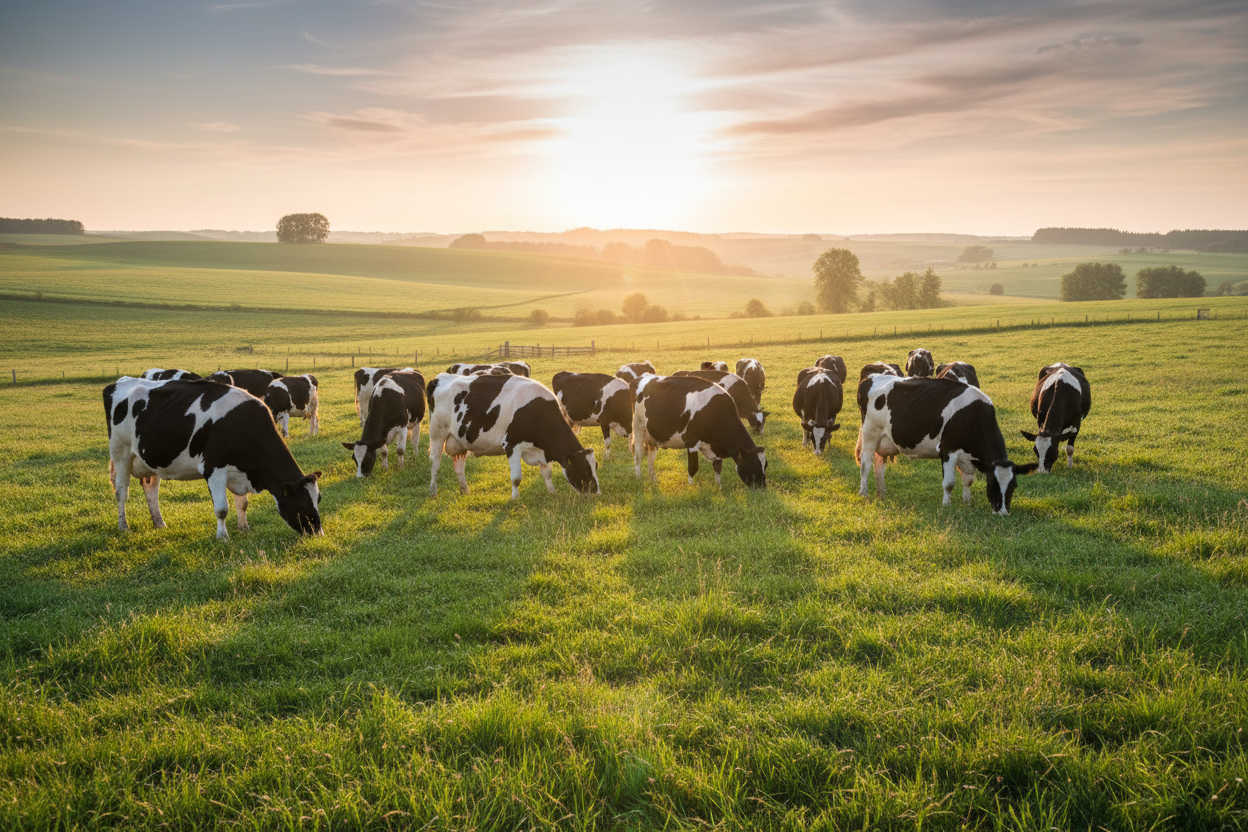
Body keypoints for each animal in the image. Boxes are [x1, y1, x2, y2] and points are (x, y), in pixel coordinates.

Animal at [103, 377, 322, 540]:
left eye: (318, 499)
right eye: (303, 503)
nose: (318, 532)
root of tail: (119, 382)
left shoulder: (238, 470)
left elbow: (242, 504)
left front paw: (244, 528)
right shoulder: (214, 470)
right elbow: (222, 509)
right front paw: (222, 537)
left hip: (150, 459)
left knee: (151, 492)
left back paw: (159, 523)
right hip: (120, 452)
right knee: (121, 491)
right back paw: (124, 527)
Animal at [426, 373, 598, 499]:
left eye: (595, 466)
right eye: (584, 469)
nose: (597, 493)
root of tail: (440, 378)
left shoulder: (541, 449)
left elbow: (546, 472)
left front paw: (552, 492)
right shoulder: (511, 445)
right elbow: (516, 477)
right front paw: (515, 498)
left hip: (459, 441)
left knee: (459, 467)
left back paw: (464, 490)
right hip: (437, 433)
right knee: (435, 464)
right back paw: (433, 491)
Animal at [632, 374, 766, 489]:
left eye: (766, 465)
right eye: (754, 464)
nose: (763, 488)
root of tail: (641, 378)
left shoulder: (716, 447)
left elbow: (718, 467)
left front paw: (719, 486)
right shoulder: (691, 442)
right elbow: (693, 468)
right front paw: (691, 487)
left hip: (652, 436)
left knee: (651, 456)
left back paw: (653, 479)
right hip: (638, 426)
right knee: (638, 453)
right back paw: (638, 477)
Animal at [856, 375, 1036, 515]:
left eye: (1013, 486)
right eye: (992, 483)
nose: (1003, 512)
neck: (973, 416)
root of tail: (870, 378)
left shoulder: (967, 456)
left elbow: (968, 481)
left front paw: (967, 502)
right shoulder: (948, 451)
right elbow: (949, 483)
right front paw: (946, 505)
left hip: (884, 440)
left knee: (879, 465)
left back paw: (882, 493)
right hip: (870, 433)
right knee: (866, 464)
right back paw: (864, 492)